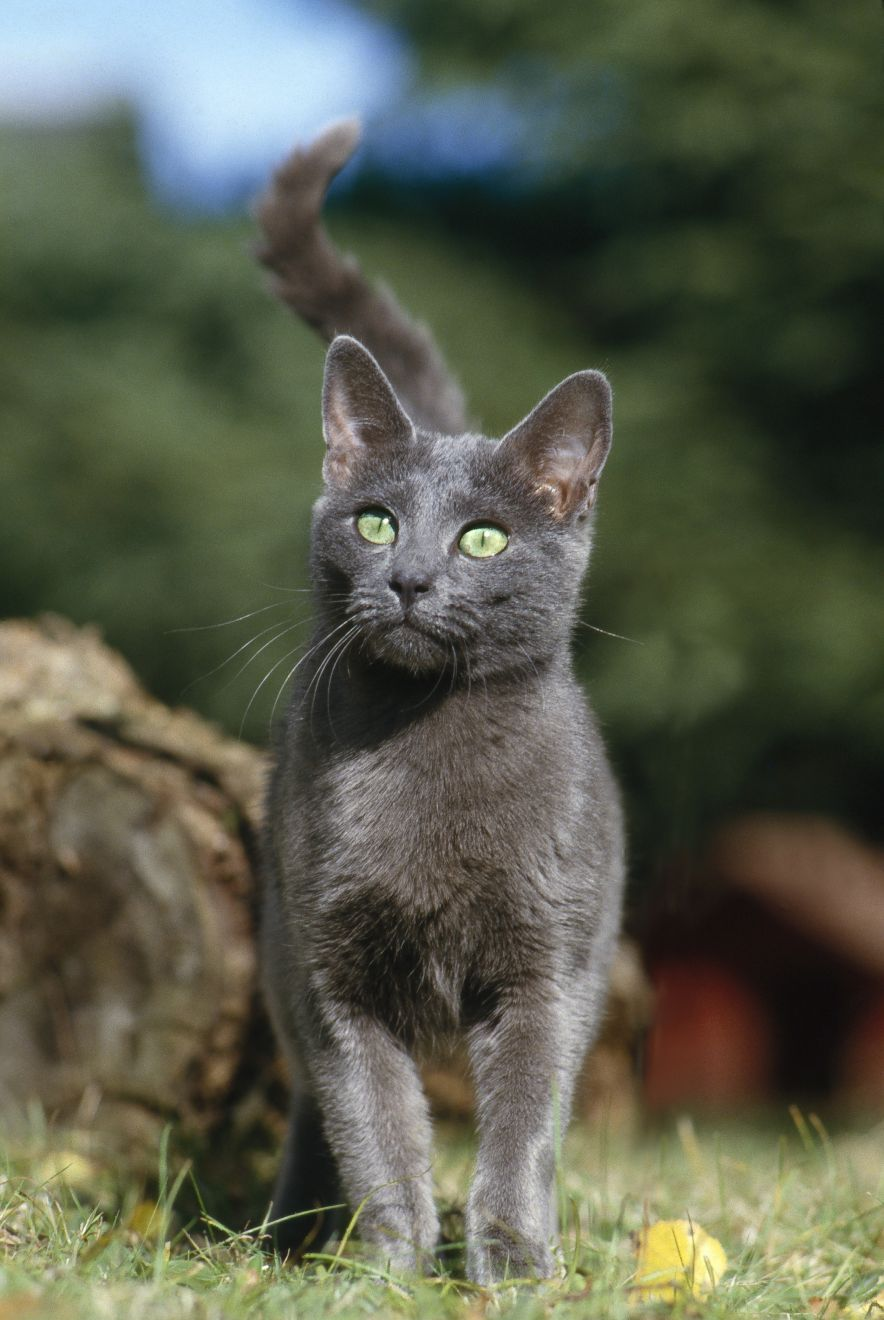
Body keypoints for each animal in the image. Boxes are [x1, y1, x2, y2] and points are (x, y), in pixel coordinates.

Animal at [254, 121, 630, 1277]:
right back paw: (289, 1235)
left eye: (483, 539)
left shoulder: (549, 965)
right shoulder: (328, 971)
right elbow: (371, 1121)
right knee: (309, 1107)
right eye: (376, 522)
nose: (412, 578)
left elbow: (524, 1122)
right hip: (275, 933)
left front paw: (509, 1261)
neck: (428, 748)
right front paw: (385, 1267)